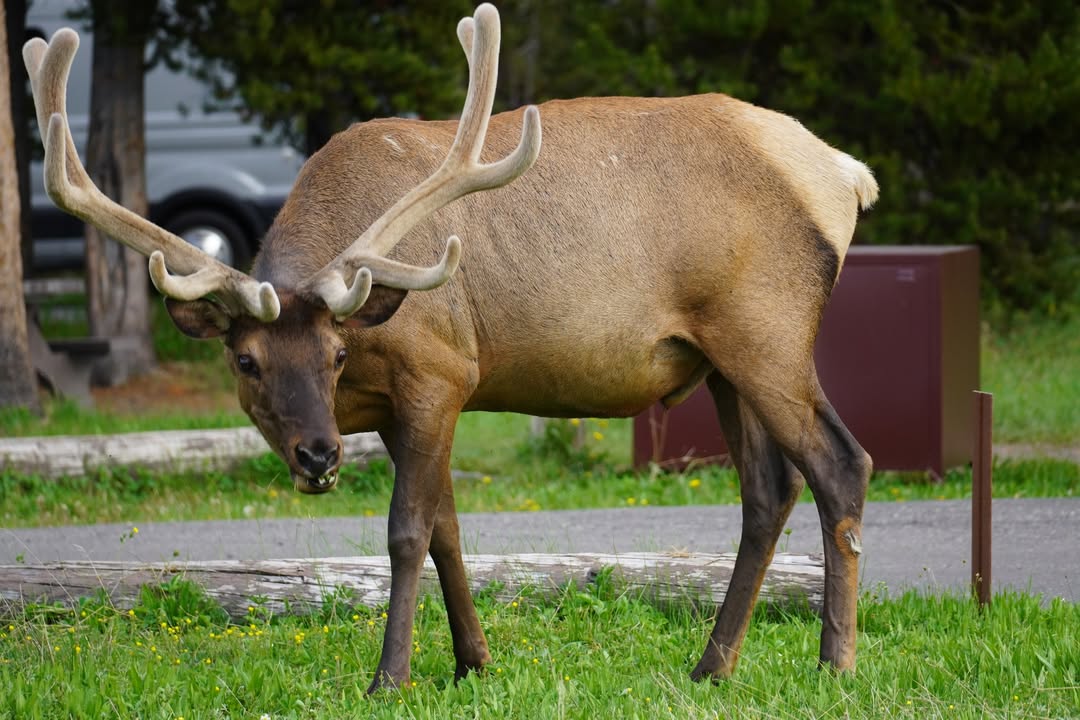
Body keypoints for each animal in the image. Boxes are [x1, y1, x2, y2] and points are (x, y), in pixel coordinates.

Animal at [25, 3, 877, 693]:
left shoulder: (440, 374)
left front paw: (390, 677)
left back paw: (834, 663)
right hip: (719, 357)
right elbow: (447, 531)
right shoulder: (392, 410)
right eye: (247, 362)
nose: (318, 456)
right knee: (767, 490)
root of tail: (846, 174)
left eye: (334, 356)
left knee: (841, 463)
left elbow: (407, 532)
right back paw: (711, 666)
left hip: (767, 328)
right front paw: (474, 663)